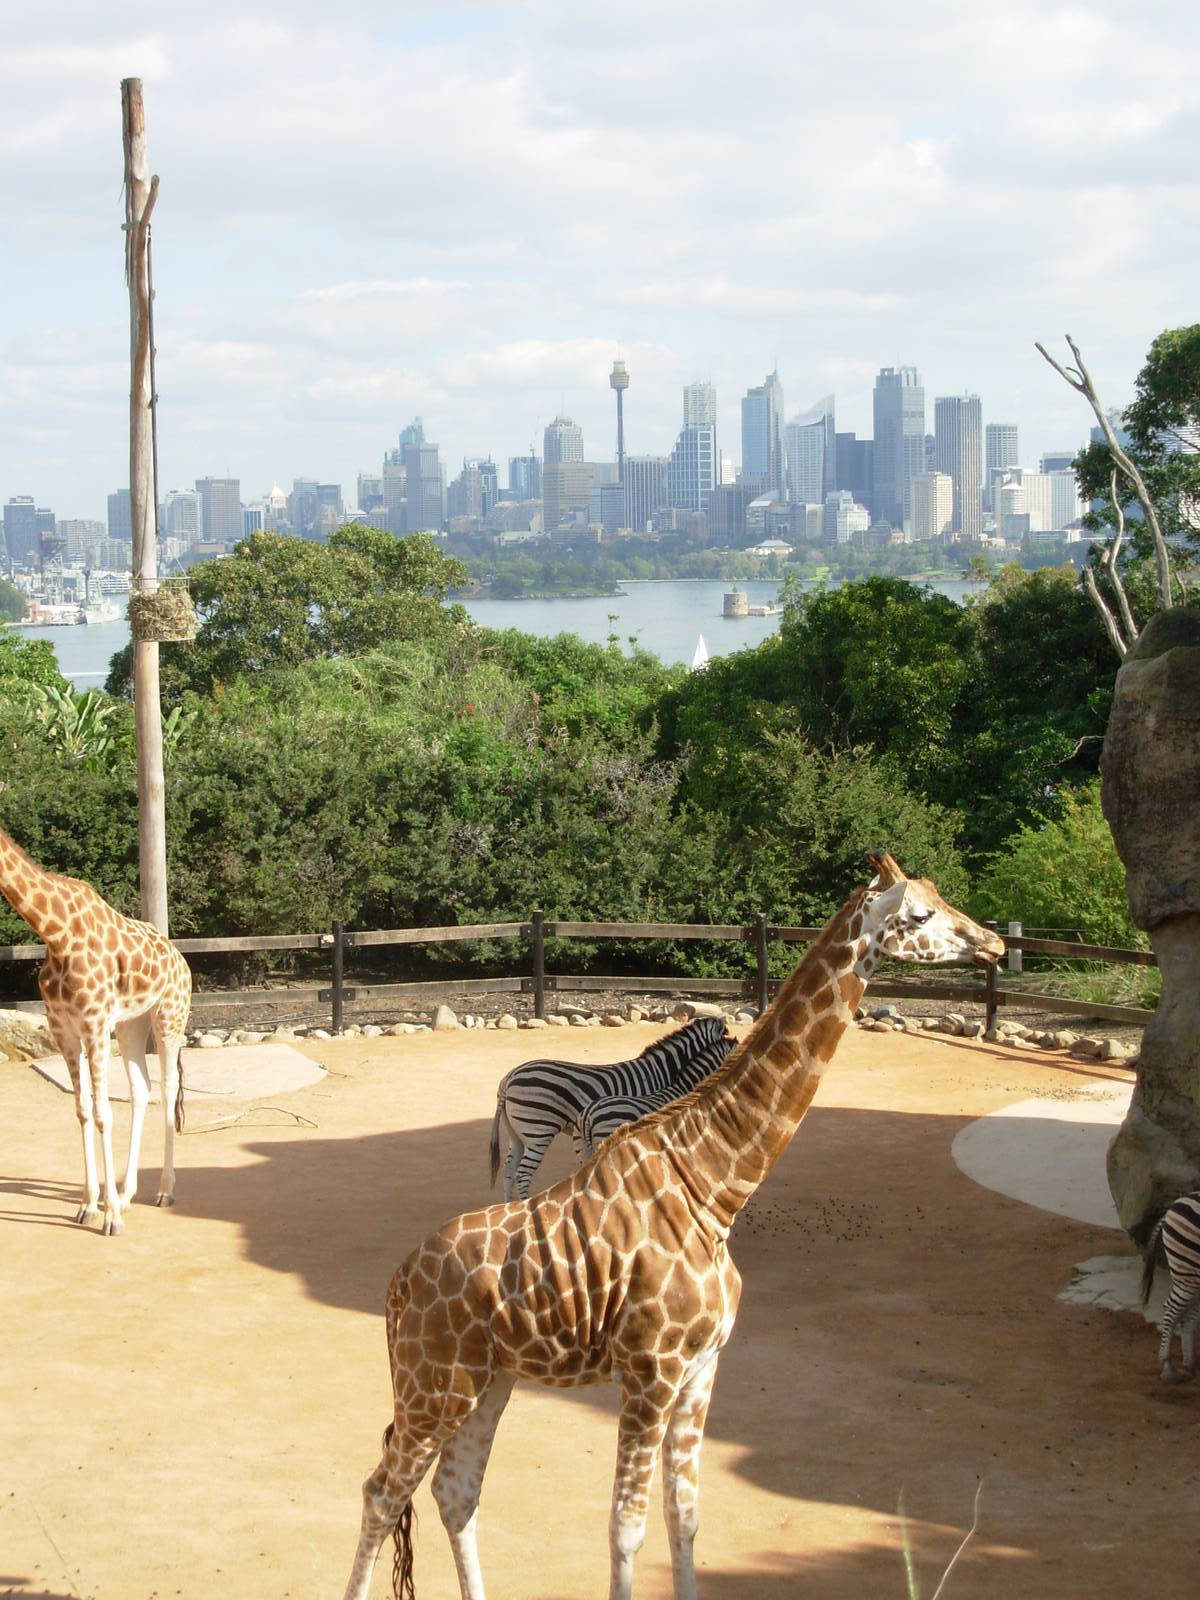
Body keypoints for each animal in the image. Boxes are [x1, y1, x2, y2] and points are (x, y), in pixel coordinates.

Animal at [0, 825, 192, 1236]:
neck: (55, 932)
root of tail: (180, 958)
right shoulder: (64, 1030)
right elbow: (84, 1110)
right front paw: (90, 1205)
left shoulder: (95, 1024)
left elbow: (104, 1113)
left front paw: (111, 1217)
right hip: (132, 1024)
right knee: (142, 1089)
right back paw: (127, 1193)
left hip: (170, 1016)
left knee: (168, 1090)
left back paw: (164, 1191)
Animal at [1141, 1189, 1200, 1383]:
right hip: (1187, 1271)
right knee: (1172, 1309)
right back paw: (1168, 1367)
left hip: (1193, 1276)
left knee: (1189, 1316)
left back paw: (1191, 1366)